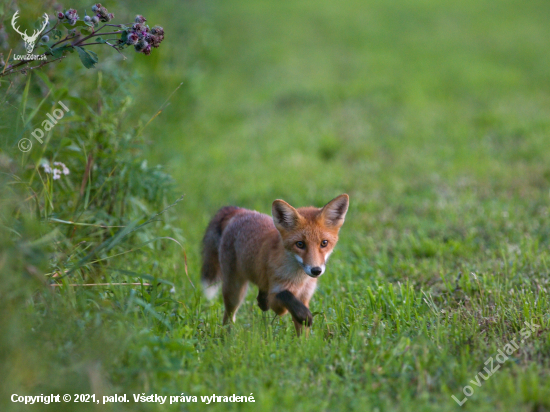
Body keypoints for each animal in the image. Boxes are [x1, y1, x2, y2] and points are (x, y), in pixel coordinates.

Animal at [202, 194, 350, 334]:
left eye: (324, 243)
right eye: (300, 244)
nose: (316, 270)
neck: (299, 280)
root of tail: (240, 211)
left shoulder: (304, 296)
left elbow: (302, 333)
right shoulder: (278, 298)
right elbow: (284, 295)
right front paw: (305, 316)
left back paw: (261, 302)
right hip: (234, 290)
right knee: (228, 317)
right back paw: (227, 337)